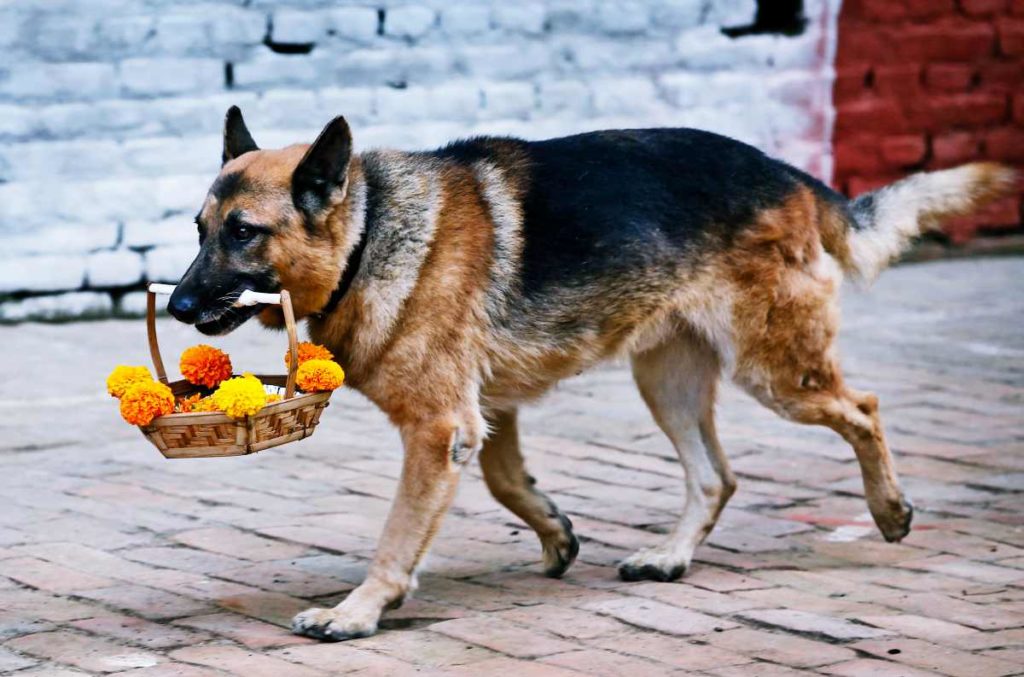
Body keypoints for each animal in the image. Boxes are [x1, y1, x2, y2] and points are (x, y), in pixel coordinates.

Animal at [169, 105, 1015, 639]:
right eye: (199, 230)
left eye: (242, 233)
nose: (175, 305)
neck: (371, 230)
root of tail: (787, 172)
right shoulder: (485, 417)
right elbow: (507, 481)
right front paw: (555, 533)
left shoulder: (441, 428)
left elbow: (399, 532)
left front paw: (357, 611)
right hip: (668, 382)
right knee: (716, 475)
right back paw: (670, 555)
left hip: (775, 372)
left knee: (863, 407)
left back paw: (890, 511)